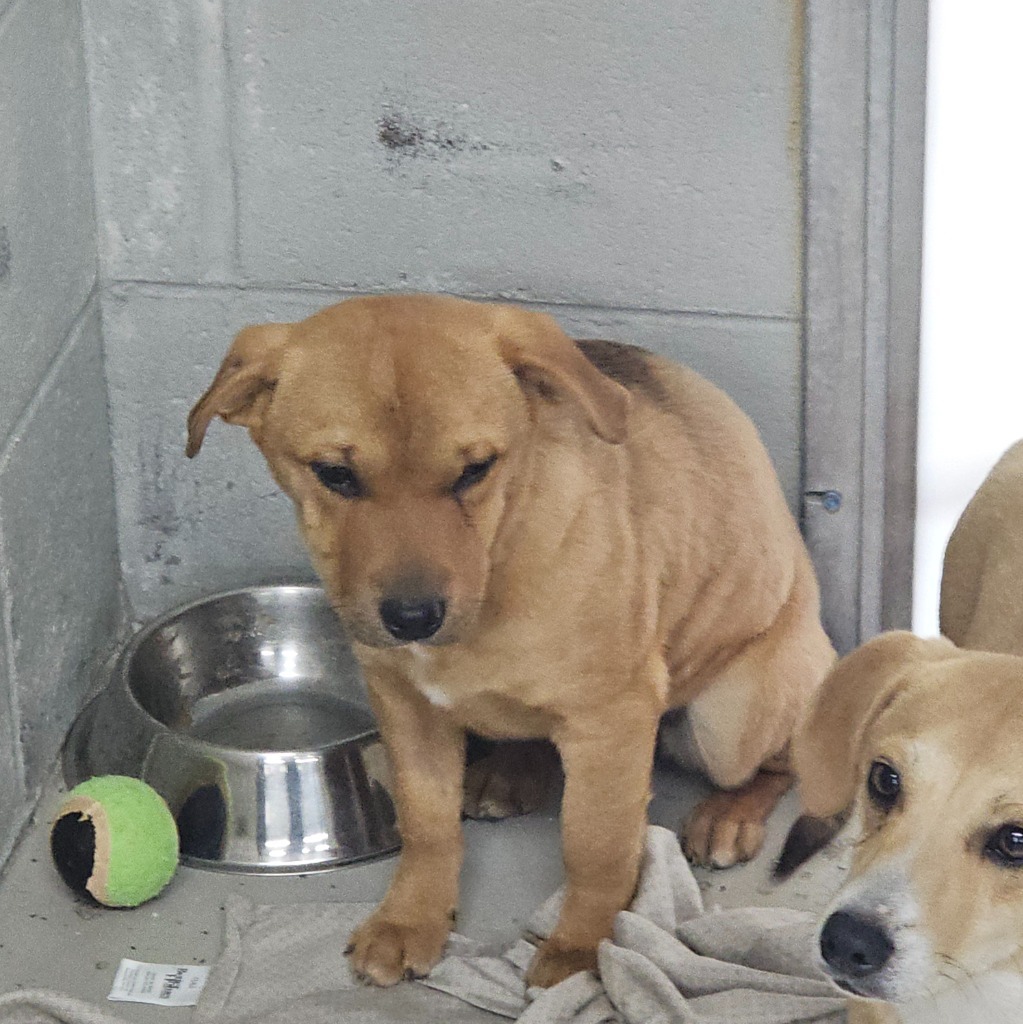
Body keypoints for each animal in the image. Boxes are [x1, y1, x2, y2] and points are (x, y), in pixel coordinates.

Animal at [188, 296, 835, 991]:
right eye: (335, 474)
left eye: (476, 470)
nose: (412, 618)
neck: (499, 558)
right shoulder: (403, 703)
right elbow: (427, 824)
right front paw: (410, 919)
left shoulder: (611, 717)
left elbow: (596, 845)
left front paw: (582, 950)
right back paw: (510, 772)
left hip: (730, 717)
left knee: (784, 764)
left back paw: (730, 813)